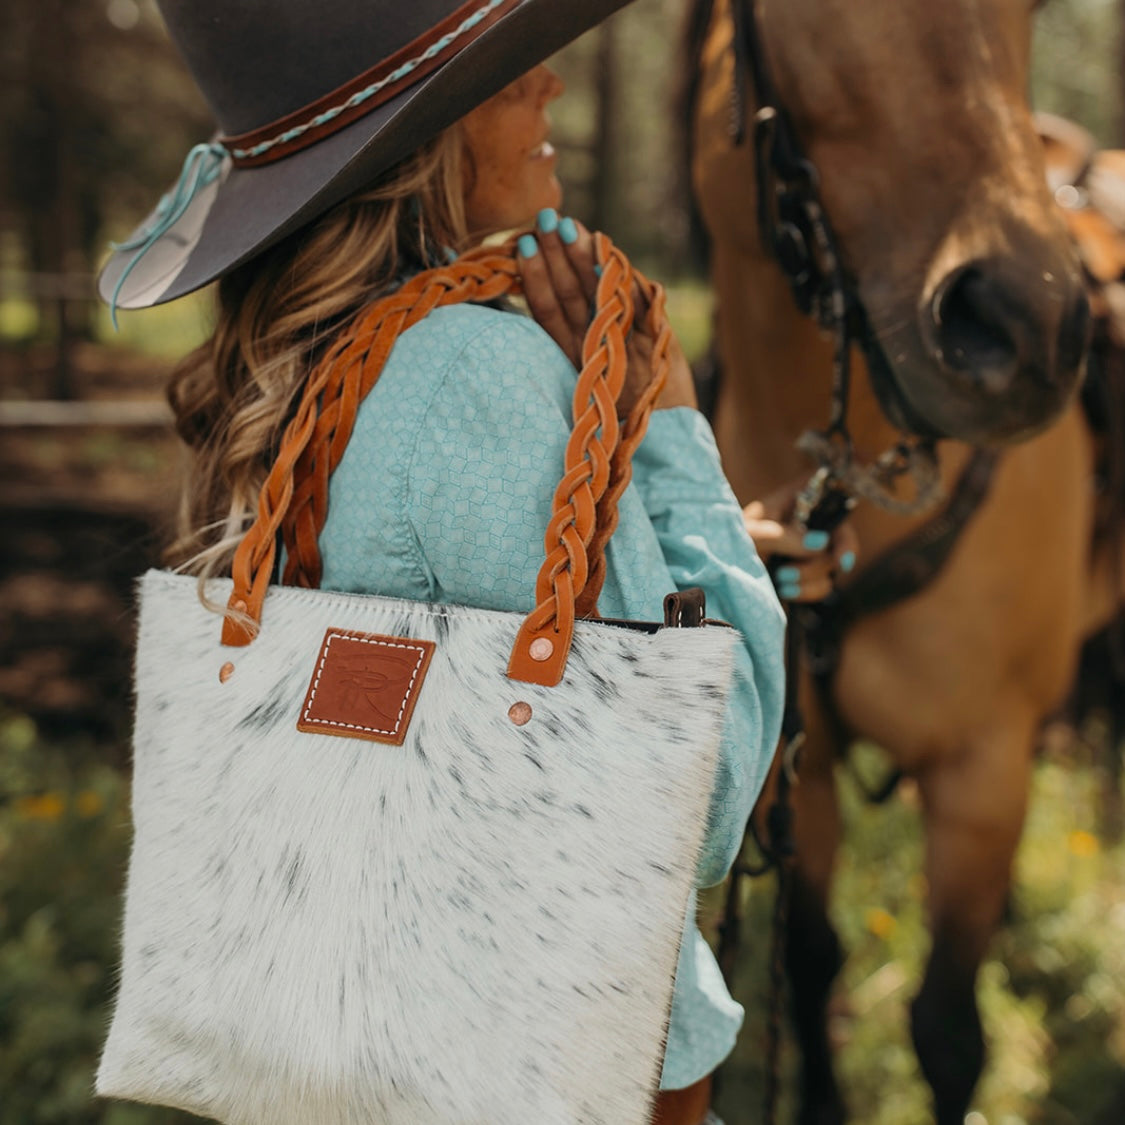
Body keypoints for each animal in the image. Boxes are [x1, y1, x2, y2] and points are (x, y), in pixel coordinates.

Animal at [679, 2, 1120, 1125]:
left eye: (1031, 14)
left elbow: (947, 1032)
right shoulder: (801, 762)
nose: (1028, 330)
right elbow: (814, 957)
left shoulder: (979, 772)